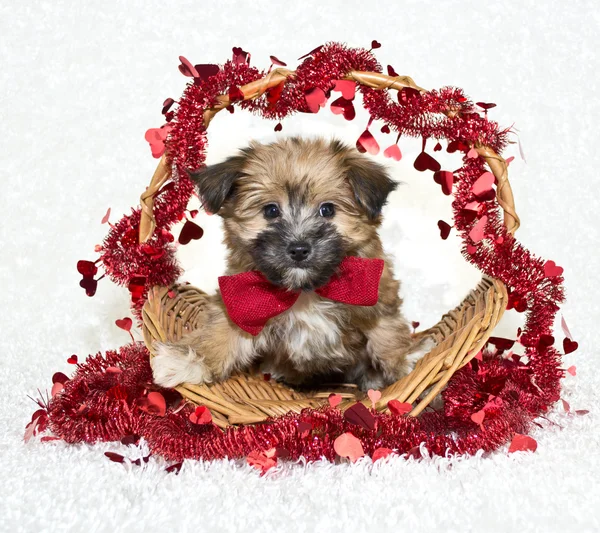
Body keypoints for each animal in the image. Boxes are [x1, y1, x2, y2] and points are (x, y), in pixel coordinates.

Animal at [150, 135, 432, 388]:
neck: (304, 292)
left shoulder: (376, 292)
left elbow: (386, 331)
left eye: (327, 210)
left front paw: (405, 360)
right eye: (271, 211)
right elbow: (222, 333)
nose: (298, 249)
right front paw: (186, 361)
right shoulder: (242, 302)